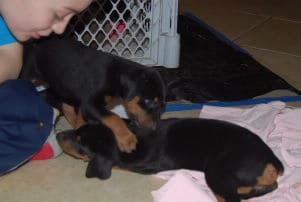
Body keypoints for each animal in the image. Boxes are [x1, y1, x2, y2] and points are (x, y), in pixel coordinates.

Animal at [22, 37, 165, 152]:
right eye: (149, 102)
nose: (154, 129)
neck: (115, 74)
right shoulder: (90, 104)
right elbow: (114, 117)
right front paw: (127, 138)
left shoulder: (86, 105)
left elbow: (83, 118)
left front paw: (79, 130)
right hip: (29, 73)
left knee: (67, 105)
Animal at [56, 118, 284, 202]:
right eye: (77, 131)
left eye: (79, 141)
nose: (58, 135)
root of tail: (272, 160)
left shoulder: (139, 165)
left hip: (216, 173)